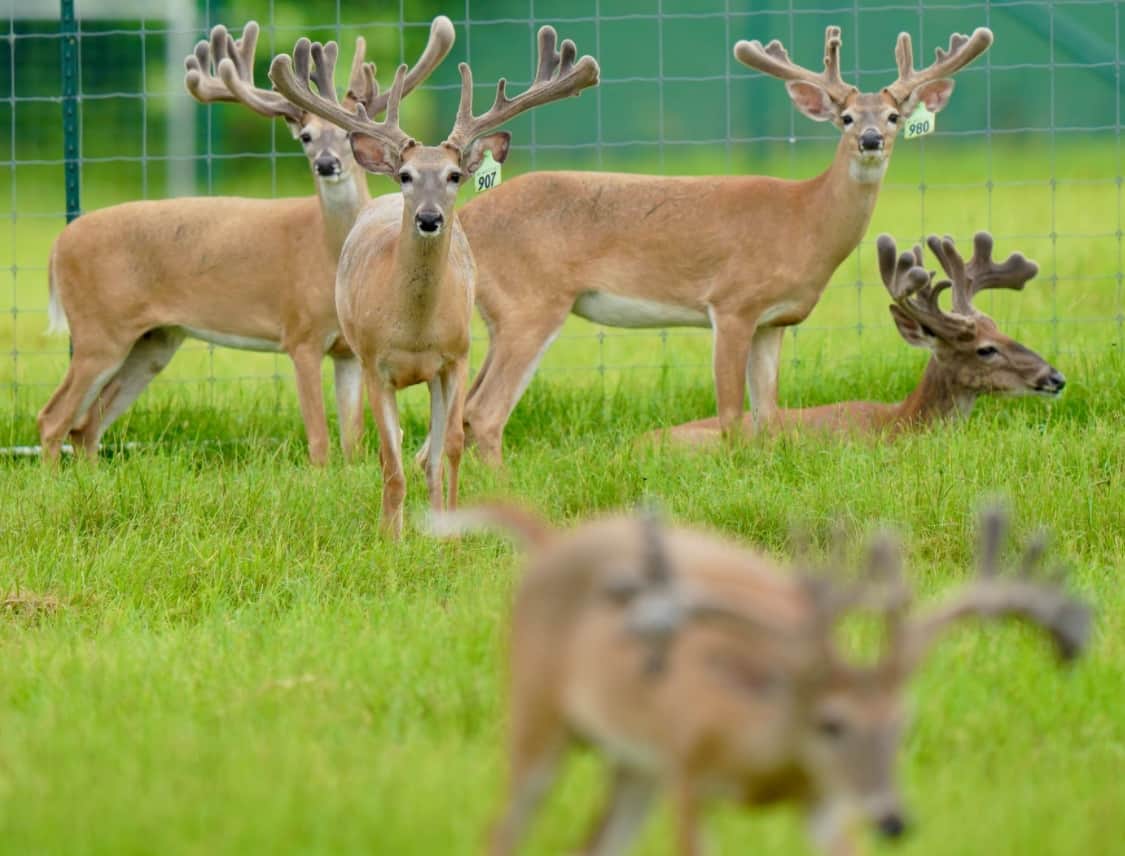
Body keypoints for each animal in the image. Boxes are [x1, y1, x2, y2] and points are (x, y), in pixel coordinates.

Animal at [36, 17, 455, 466]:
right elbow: (319, 440)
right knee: (53, 417)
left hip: (153, 341)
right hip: (99, 329)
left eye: (346, 137)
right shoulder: (300, 333)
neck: (331, 253)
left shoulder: (347, 349)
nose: (327, 164)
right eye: (305, 136)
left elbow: (352, 438)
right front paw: (321, 474)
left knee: (86, 424)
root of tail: (58, 245)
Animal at [267, 27, 599, 537]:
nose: (428, 218)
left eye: (455, 175)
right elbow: (390, 461)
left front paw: (451, 533)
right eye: (405, 175)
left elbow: (451, 449)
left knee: (432, 454)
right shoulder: (373, 363)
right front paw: (391, 538)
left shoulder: (456, 357)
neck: (414, 331)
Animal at [432, 503, 1092, 856]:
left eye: (903, 724)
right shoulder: (688, 770)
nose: (892, 819)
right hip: (537, 716)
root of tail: (551, 542)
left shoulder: (825, 801)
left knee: (591, 843)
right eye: (830, 723)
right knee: (501, 828)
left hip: (633, 764)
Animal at [451, 24, 994, 465]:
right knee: (485, 412)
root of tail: (464, 217)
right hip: (531, 304)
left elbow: (768, 413)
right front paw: (737, 471)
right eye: (844, 117)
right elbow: (733, 414)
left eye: (895, 115)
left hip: (502, 316)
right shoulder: (732, 303)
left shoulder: (775, 321)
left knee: (464, 409)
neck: (805, 220)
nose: (871, 139)